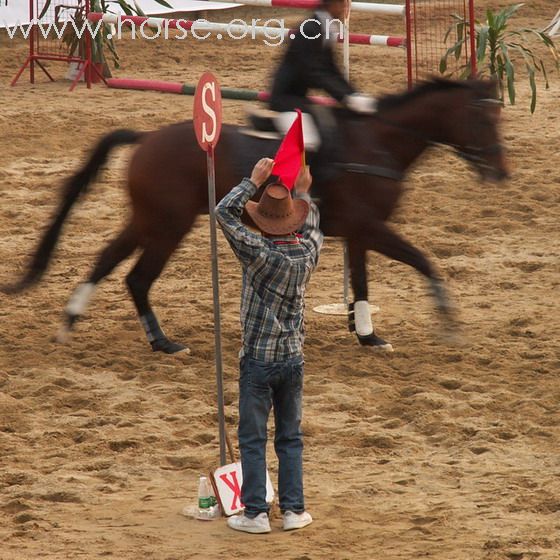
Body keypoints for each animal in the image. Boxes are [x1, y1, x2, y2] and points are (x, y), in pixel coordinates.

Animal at [1, 78, 508, 352]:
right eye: (483, 120)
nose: (501, 173)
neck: (378, 144)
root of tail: (146, 137)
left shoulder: (361, 232)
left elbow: (362, 283)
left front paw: (366, 334)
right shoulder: (371, 228)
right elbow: (423, 260)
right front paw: (448, 320)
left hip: (149, 220)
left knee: (108, 261)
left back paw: (71, 322)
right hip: (167, 226)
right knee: (137, 277)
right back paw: (163, 343)